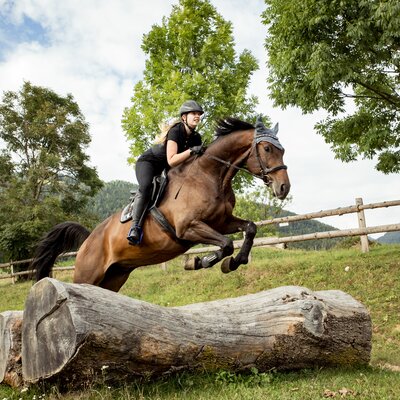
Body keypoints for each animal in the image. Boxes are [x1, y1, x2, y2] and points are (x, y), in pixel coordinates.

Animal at [29, 115, 290, 290]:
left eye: (283, 150)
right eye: (267, 149)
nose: (284, 188)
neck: (211, 175)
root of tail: (88, 240)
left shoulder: (222, 221)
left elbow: (250, 228)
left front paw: (234, 262)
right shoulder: (188, 227)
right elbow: (225, 244)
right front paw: (198, 262)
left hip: (115, 276)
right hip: (87, 275)